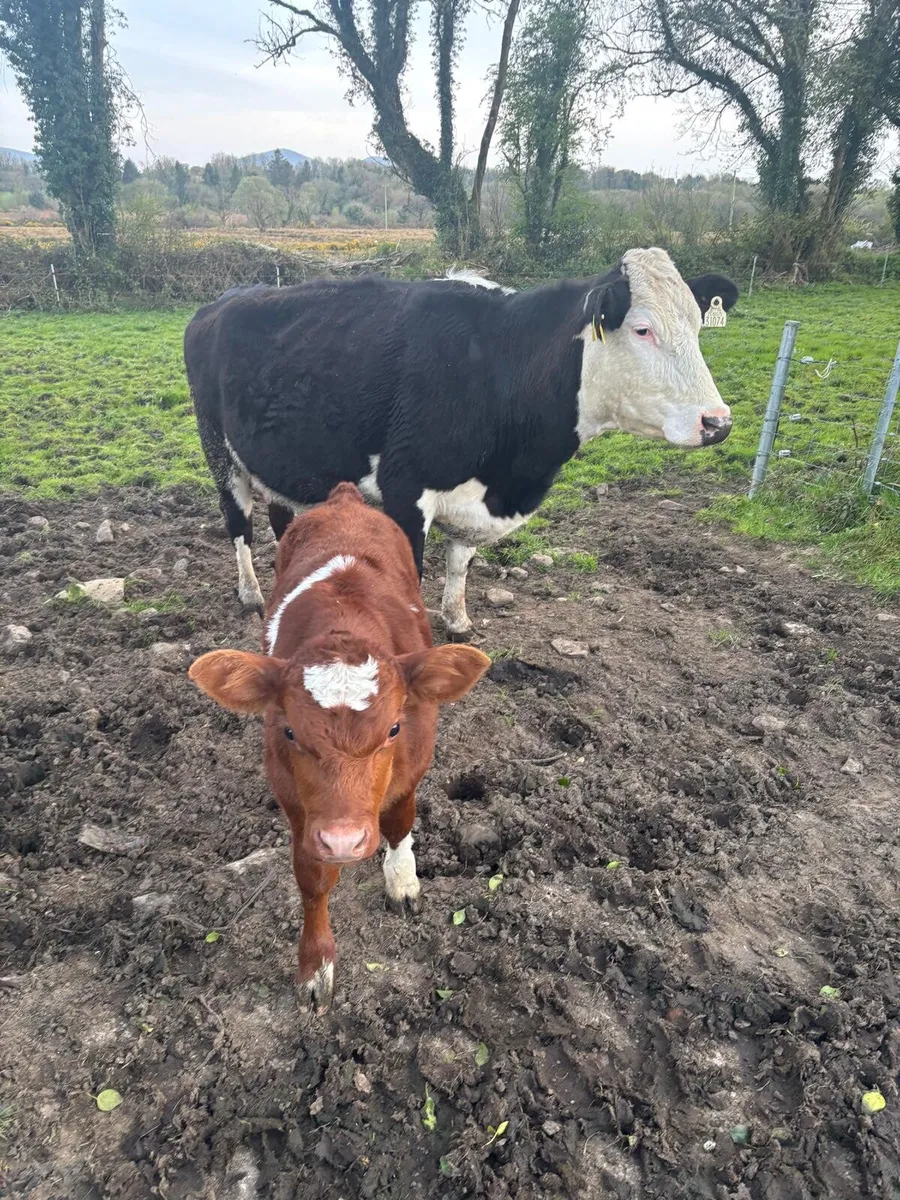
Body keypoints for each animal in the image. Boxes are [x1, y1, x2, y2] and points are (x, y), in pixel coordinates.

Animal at [184, 248, 738, 636]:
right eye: (642, 330)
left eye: (697, 325)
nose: (717, 422)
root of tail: (225, 298)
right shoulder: (405, 490)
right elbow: (411, 578)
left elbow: (459, 566)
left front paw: (458, 623)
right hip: (218, 450)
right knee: (238, 524)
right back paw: (251, 595)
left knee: (283, 517)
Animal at [187, 482, 490, 1012]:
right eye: (289, 732)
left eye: (394, 728)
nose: (345, 841)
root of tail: (345, 498)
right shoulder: (297, 803)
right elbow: (312, 879)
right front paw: (316, 966)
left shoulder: (412, 766)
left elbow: (399, 822)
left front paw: (402, 881)